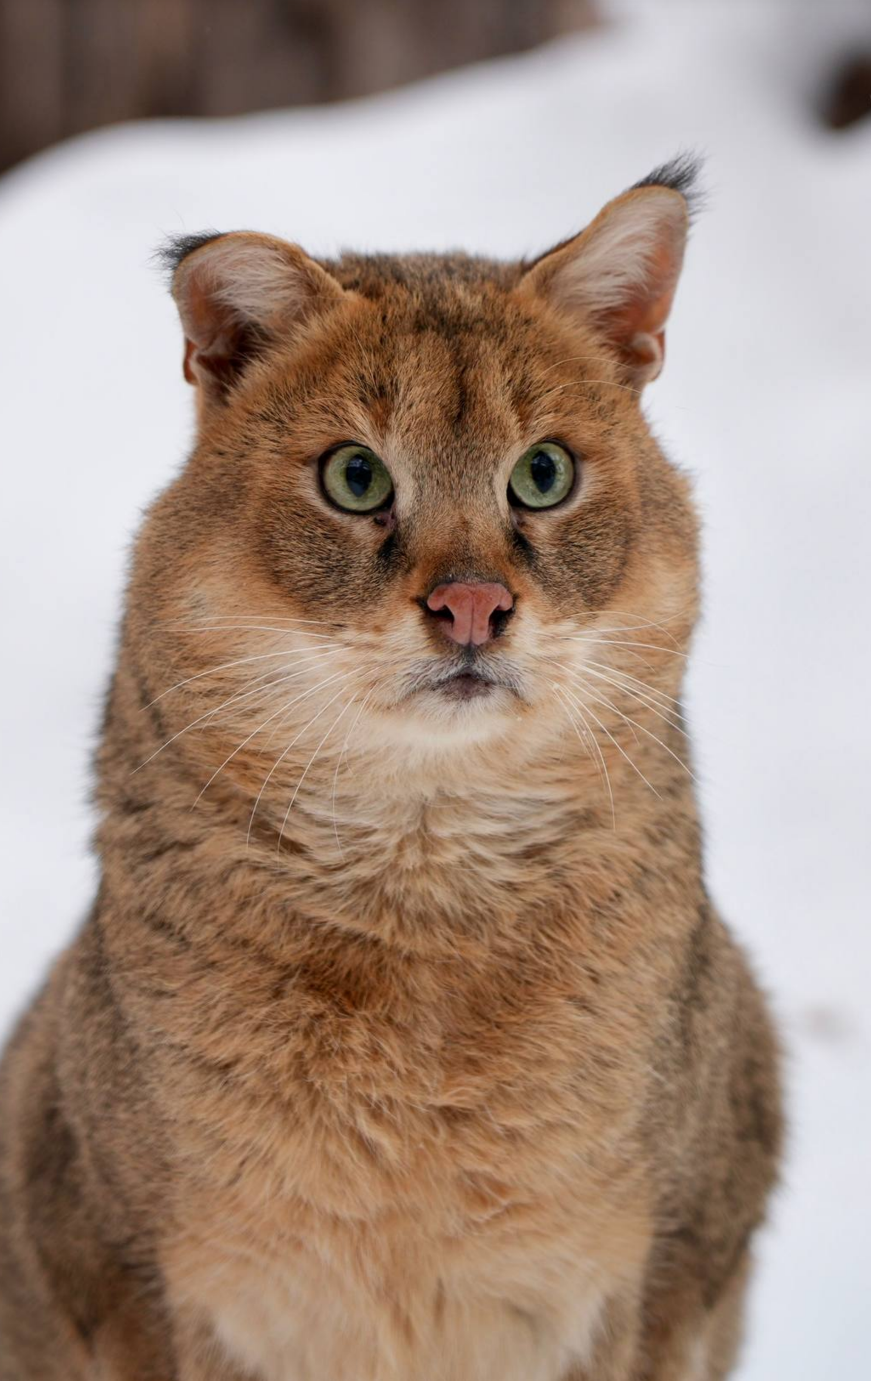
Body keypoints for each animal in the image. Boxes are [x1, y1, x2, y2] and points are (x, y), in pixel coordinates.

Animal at [0, 157, 782, 1381]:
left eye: (543, 472)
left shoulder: (628, 1294)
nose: (471, 605)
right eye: (356, 477)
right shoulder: (156, 1293)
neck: (425, 885)